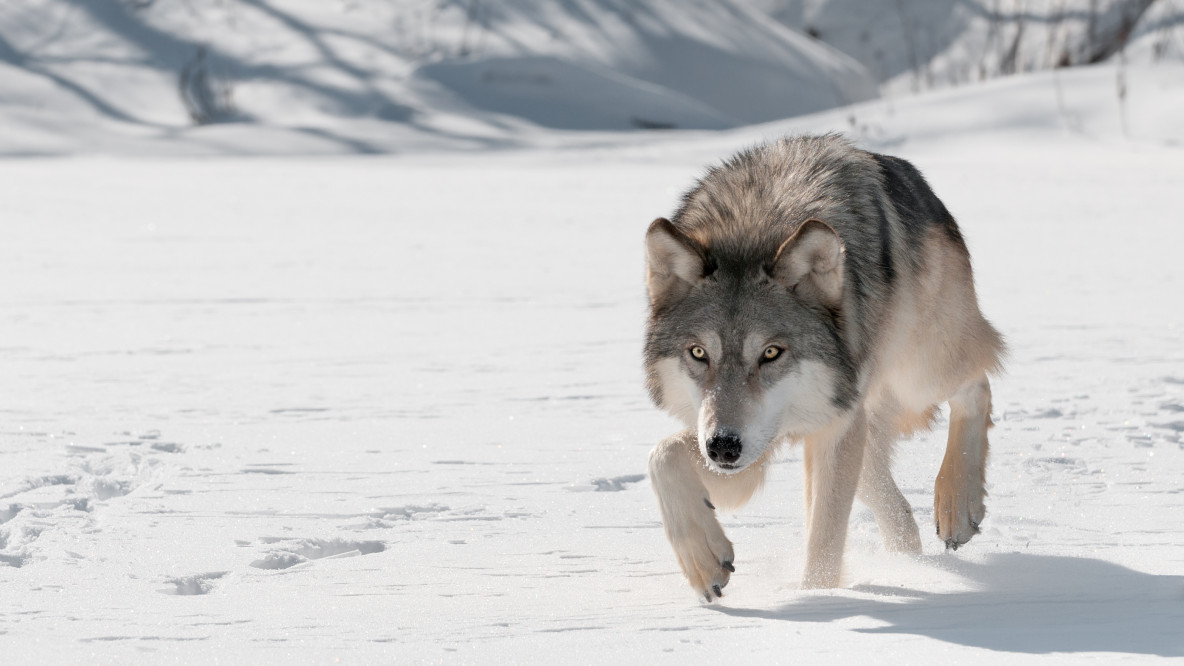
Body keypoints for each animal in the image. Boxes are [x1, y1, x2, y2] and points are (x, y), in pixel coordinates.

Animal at [644, 132, 1004, 599]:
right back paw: (909, 559)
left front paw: (818, 599)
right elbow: (662, 456)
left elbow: (825, 537)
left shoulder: (824, 426)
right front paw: (704, 562)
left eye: (771, 353)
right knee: (887, 496)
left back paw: (956, 507)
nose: (723, 446)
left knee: (977, 383)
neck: (754, 226)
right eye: (699, 353)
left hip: (918, 373)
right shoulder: (751, 448)